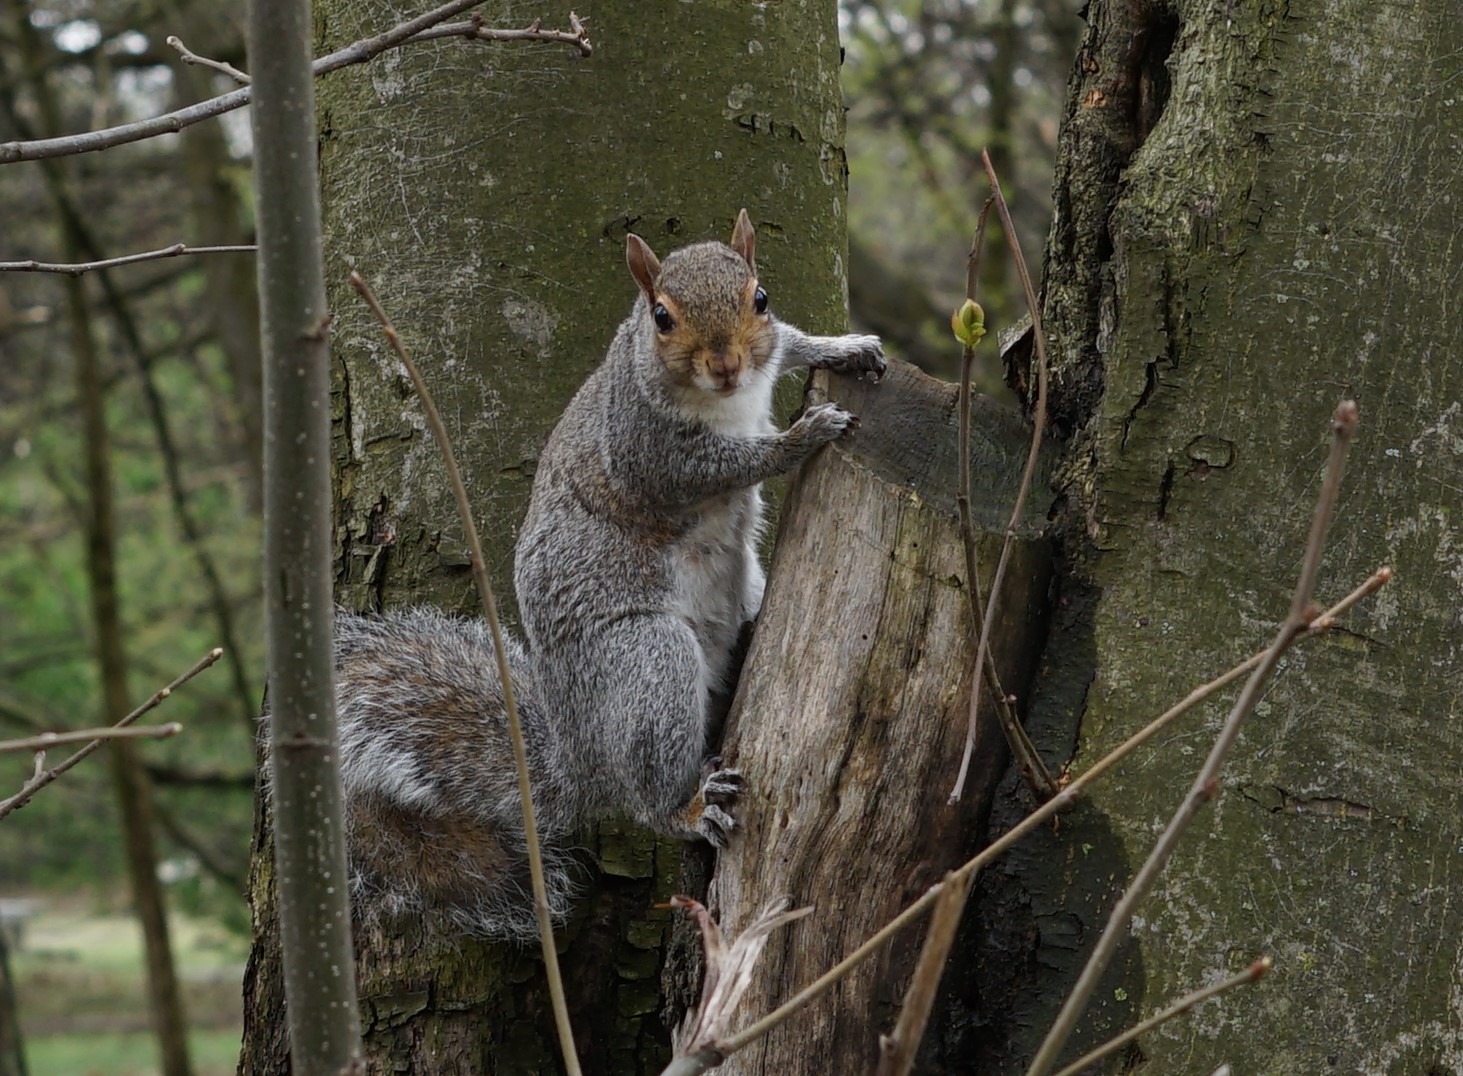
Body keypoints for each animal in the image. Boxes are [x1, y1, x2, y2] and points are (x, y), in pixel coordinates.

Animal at [325, 210, 885, 940]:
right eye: (661, 317)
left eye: (759, 298)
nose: (727, 364)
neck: (719, 399)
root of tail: (576, 759)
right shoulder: (644, 450)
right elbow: (721, 464)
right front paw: (802, 435)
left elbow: (790, 344)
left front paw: (847, 348)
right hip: (644, 661)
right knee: (646, 795)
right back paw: (687, 808)